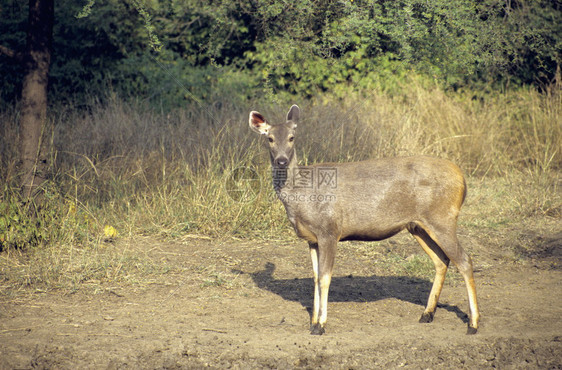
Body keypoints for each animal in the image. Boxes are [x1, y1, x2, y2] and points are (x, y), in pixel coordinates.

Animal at [248, 105, 476, 336]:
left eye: (292, 137)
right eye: (270, 138)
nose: (282, 161)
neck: (302, 197)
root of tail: (462, 178)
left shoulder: (330, 230)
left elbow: (325, 278)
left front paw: (321, 325)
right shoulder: (311, 239)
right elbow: (315, 277)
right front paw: (312, 322)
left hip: (443, 218)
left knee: (464, 260)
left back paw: (473, 324)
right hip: (418, 225)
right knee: (442, 260)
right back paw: (427, 314)